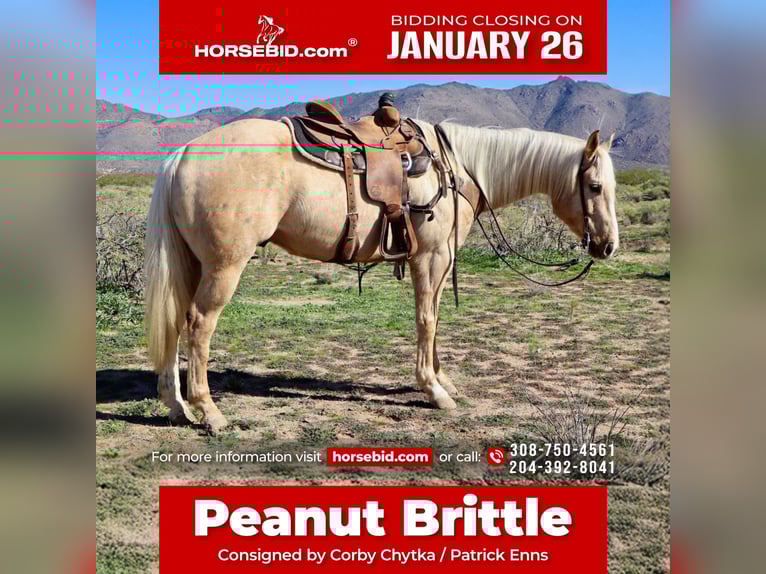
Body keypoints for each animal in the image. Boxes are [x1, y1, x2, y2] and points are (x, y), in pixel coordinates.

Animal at [144, 119, 619, 433]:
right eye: (595, 187)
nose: (609, 245)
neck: (457, 169)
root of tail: (183, 154)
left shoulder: (438, 261)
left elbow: (435, 319)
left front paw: (441, 378)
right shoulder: (431, 257)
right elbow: (426, 320)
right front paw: (434, 390)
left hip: (193, 264)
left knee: (175, 323)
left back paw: (176, 406)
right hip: (224, 266)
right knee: (199, 325)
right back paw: (210, 412)